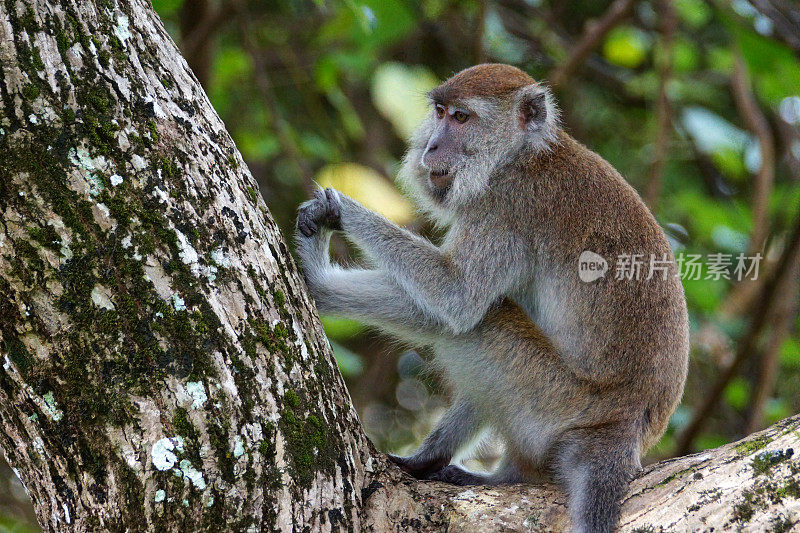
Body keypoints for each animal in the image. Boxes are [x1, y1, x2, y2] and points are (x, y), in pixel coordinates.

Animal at [294, 63, 688, 532]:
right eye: (440, 112)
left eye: (461, 118)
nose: (431, 145)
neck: (522, 157)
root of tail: (624, 427)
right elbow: (446, 308)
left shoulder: (505, 206)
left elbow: (457, 298)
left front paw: (339, 218)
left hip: (550, 398)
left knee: (483, 323)